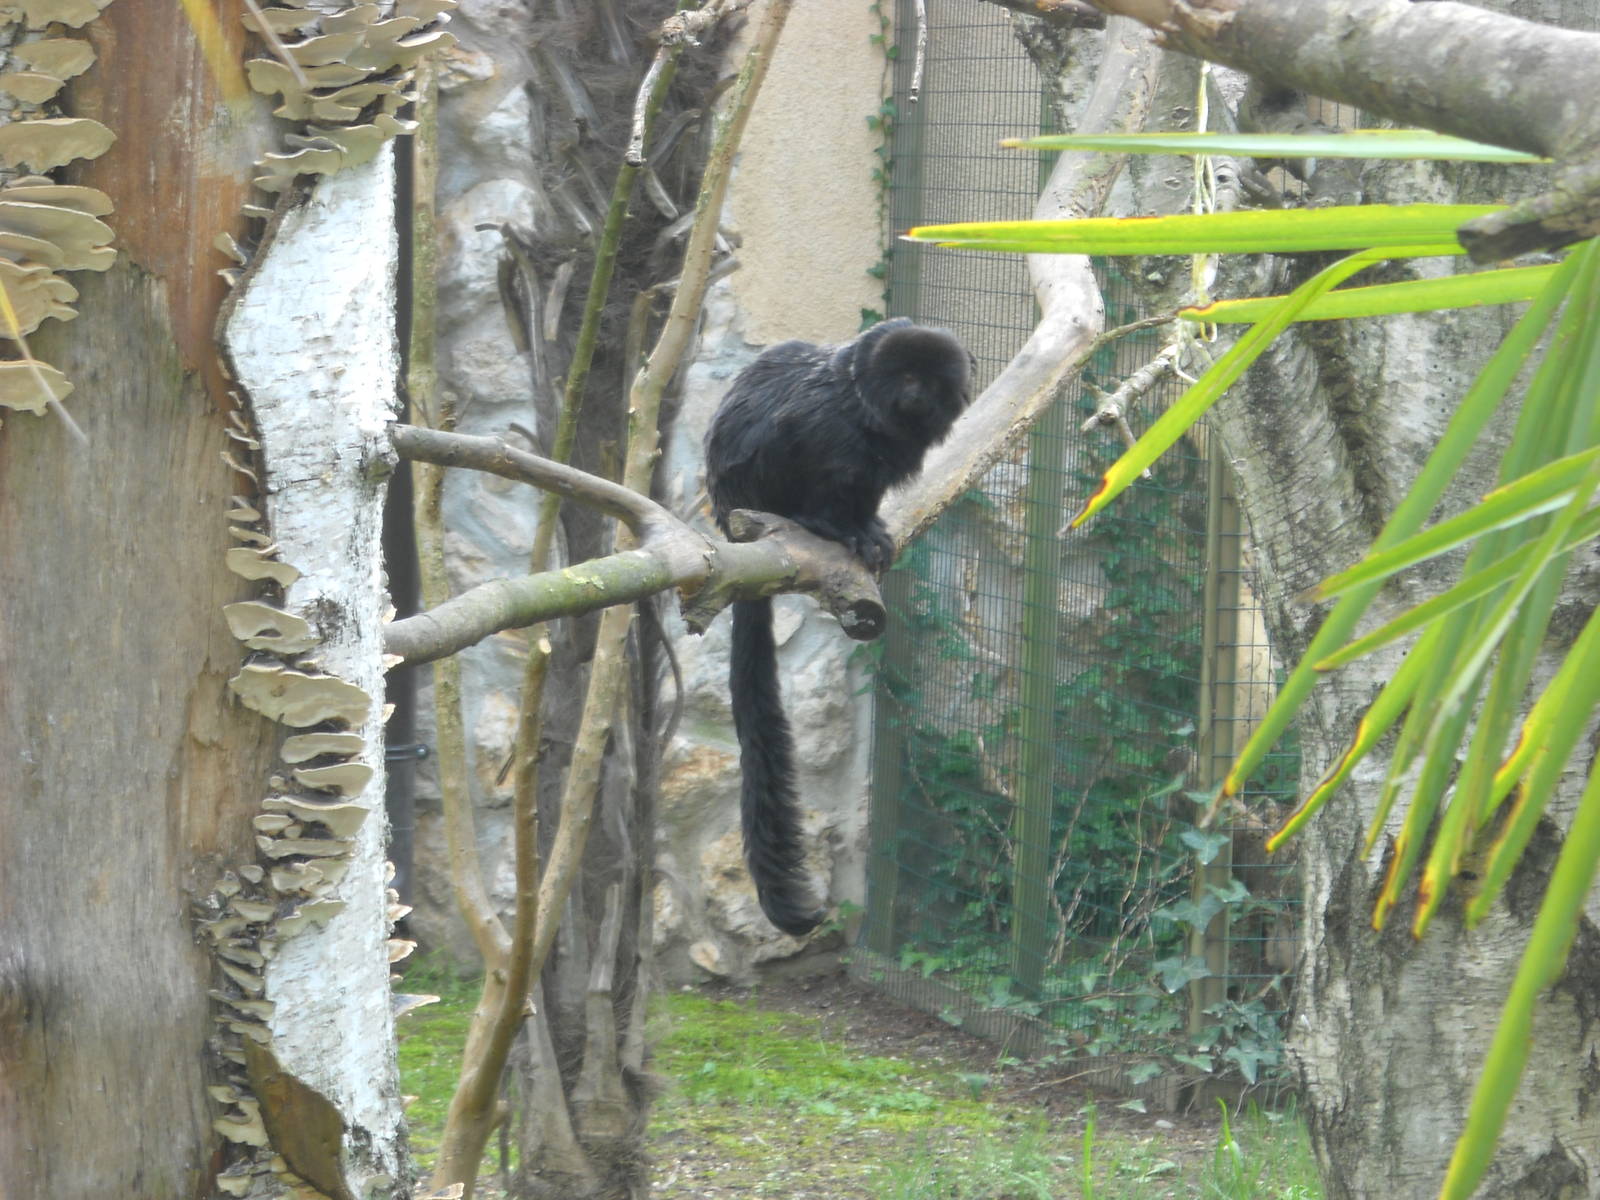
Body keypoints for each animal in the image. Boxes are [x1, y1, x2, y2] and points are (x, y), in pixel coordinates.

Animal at [703, 318, 974, 935]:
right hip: (757, 483)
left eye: (929, 381)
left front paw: (868, 528)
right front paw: (839, 527)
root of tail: (731, 524)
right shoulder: (827, 429)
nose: (916, 395)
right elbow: (817, 453)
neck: (866, 413)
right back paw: (812, 524)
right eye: (905, 376)